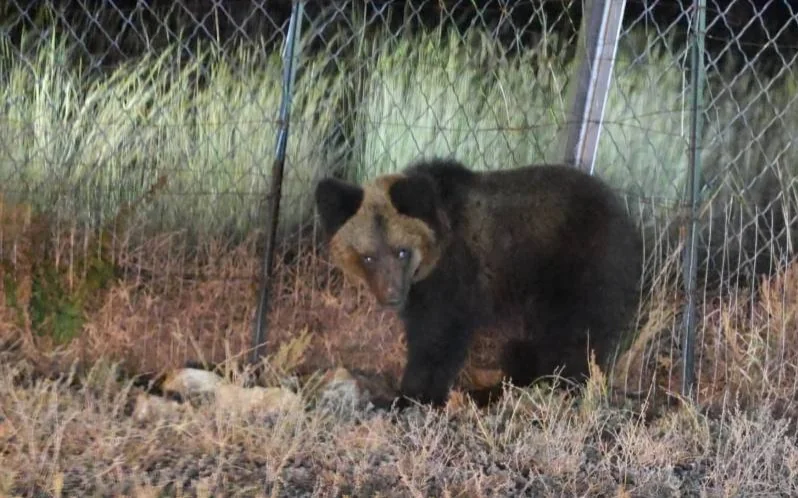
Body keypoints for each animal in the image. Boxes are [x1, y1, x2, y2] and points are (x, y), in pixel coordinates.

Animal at [314, 157, 643, 408]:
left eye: (401, 251)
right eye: (368, 256)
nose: (391, 296)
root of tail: (627, 218)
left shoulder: (454, 282)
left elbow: (437, 340)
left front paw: (410, 396)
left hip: (583, 269)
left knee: (575, 338)